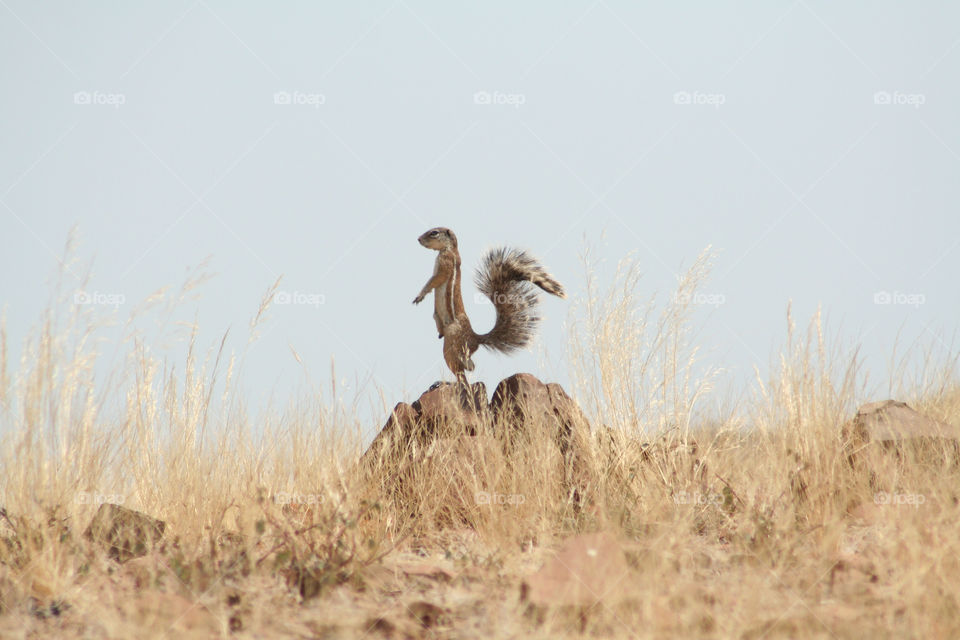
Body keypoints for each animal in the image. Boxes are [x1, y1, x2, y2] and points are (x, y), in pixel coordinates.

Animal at [412, 227, 566, 380]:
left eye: (434, 233)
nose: (418, 239)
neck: (449, 249)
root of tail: (475, 339)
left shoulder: (446, 263)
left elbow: (434, 281)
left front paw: (420, 295)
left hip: (452, 340)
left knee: (462, 369)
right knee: (469, 366)